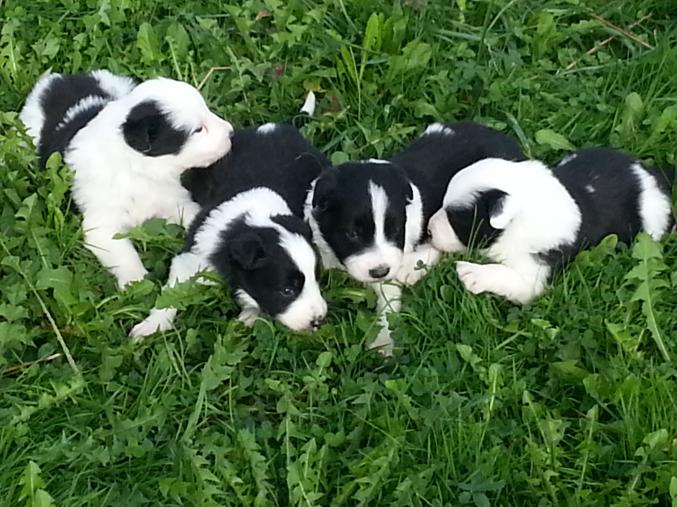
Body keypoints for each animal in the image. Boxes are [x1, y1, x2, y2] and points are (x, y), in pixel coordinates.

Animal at [19, 70, 235, 290]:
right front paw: (136, 282)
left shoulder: (173, 200)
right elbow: (123, 255)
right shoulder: (102, 225)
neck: (137, 169)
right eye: (198, 130)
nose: (231, 132)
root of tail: (60, 78)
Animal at [128, 121, 328, 340]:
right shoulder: (192, 257)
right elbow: (172, 293)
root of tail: (275, 127)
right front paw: (151, 326)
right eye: (287, 291)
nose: (318, 320)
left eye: (317, 279)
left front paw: (250, 314)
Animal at [430, 148, 672, 306]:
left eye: (456, 219)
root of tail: (650, 173)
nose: (429, 231)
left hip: (652, 224)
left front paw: (472, 272)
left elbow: (508, 276)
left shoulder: (534, 276)